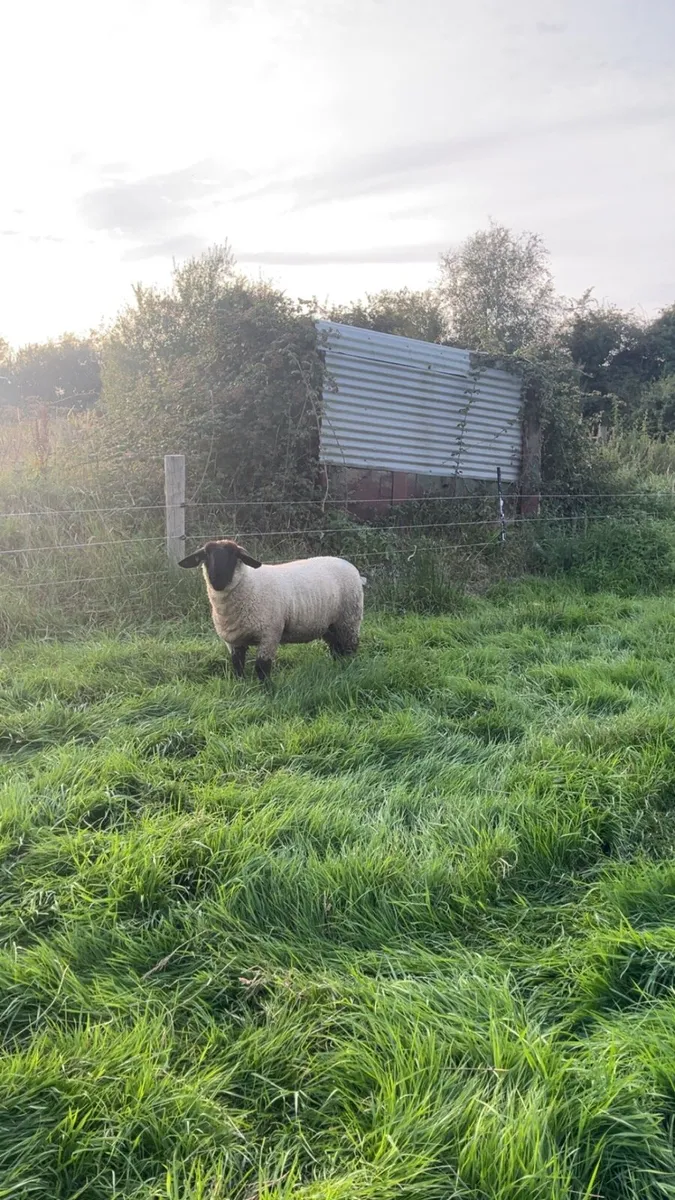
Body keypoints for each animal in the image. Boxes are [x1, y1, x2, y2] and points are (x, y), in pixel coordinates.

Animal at [178, 539, 366, 682]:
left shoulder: (269, 634)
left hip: (349, 618)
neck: (249, 585)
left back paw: (349, 668)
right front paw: (241, 685)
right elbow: (237, 666)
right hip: (329, 624)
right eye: (206, 556)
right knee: (336, 648)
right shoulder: (234, 641)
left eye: (234, 556)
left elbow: (262, 667)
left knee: (350, 647)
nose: (217, 581)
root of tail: (349, 566)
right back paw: (336, 667)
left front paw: (267, 690)